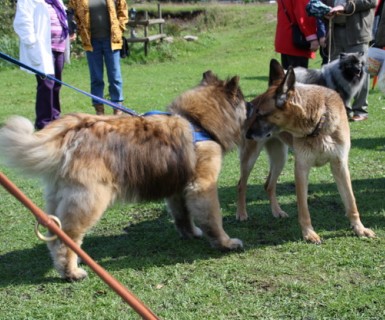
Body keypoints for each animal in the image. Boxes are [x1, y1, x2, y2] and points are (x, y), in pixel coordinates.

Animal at [0, 70, 246, 280]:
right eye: (245, 102)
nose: (252, 107)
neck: (197, 122)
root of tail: (74, 132)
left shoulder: (178, 188)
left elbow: (182, 215)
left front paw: (191, 233)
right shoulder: (202, 185)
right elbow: (213, 218)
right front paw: (225, 243)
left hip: (57, 199)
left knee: (54, 236)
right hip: (88, 200)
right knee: (66, 239)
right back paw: (72, 272)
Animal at [236, 60, 374, 244]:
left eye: (261, 114)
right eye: (255, 114)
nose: (247, 134)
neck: (318, 122)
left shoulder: (340, 165)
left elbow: (351, 201)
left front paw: (359, 229)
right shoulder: (301, 168)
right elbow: (303, 208)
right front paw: (309, 233)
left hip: (280, 158)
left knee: (268, 185)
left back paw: (277, 211)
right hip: (250, 159)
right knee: (241, 184)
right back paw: (241, 213)